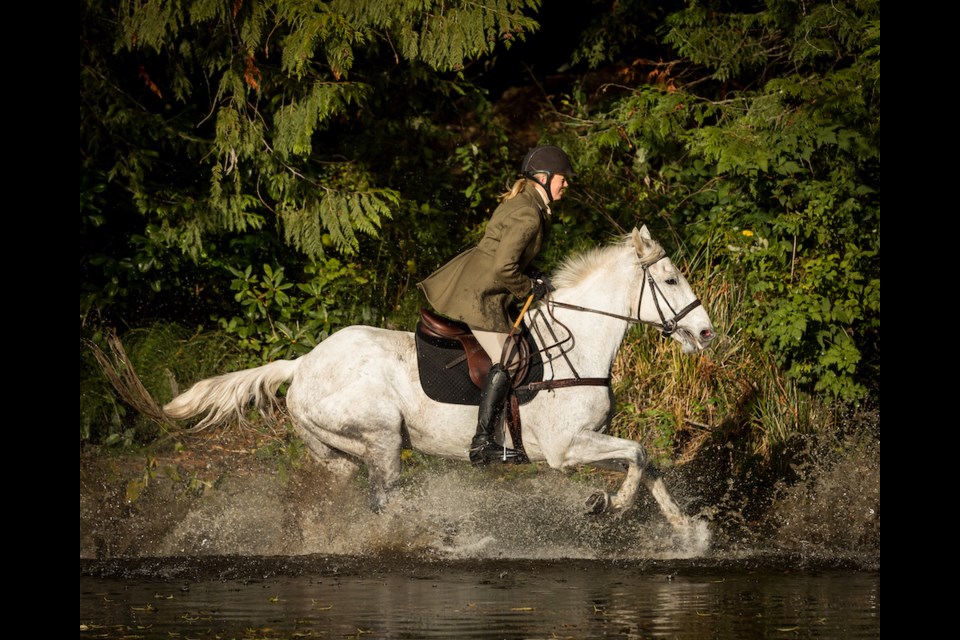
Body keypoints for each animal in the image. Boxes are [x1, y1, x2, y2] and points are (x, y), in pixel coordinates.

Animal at [165, 226, 716, 528]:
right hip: (382, 438)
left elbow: (646, 464)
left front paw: (687, 533)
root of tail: (303, 363)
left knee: (336, 491)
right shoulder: (565, 449)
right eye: (670, 280)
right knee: (383, 499)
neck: (581, 340)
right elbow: (639, 455)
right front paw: (610, 505)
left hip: (334, 451)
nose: (706, 332)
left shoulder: (589, 440)